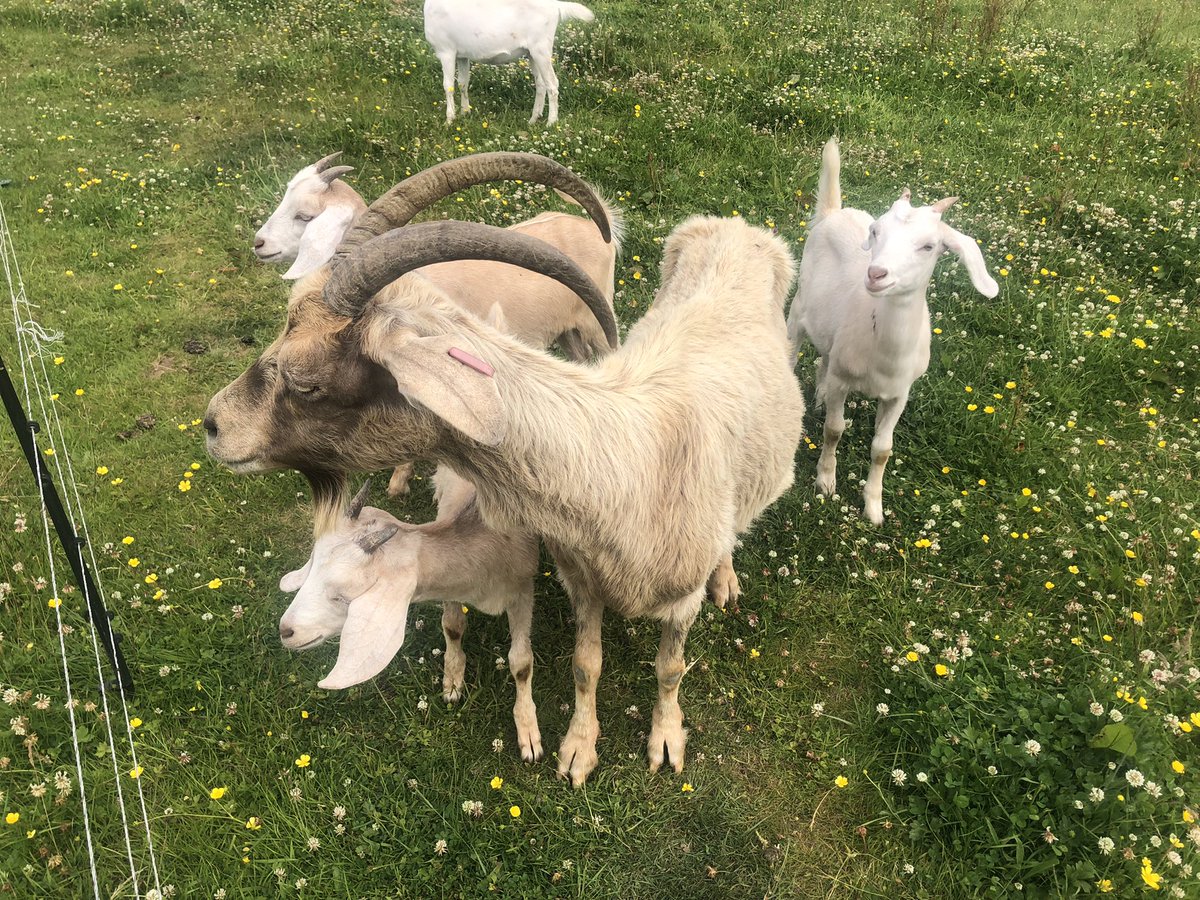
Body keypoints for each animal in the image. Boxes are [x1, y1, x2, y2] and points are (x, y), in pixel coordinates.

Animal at [252, 151, 623, 496]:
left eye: (305, 216)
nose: (259, 244)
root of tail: (597, 228)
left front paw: (399, 482)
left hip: (598, 321)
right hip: (567, 330)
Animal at [278, 475, 543, 761]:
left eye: (342, 597)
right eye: (312, 564)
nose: (285, 630)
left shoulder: (522, 588)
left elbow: (521, 663)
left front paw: (528, 732)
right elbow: (452, 627)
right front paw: (453, 679)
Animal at [423, 0, 596, 125]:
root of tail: (556, 5)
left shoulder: (446, 51)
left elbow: (448, 86)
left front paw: (449, 121)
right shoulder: (462, 55)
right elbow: (463, 83)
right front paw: (465, 112)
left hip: (541, 48)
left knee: (552, 84)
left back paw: (551, 123)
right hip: (532, 53)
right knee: (541, 84)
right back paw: (533, 120)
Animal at [785, 138, 999, 525]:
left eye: (929, 246)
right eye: (877, 232)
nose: (875, 274)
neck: (883, 352)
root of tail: (832, 213)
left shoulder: (900, 393)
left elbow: (883, 449)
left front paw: (873, 506)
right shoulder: (843, 380)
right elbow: (834, 430)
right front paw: (826, 482)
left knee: (824, 357)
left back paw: (819, 396)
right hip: (798, 310)